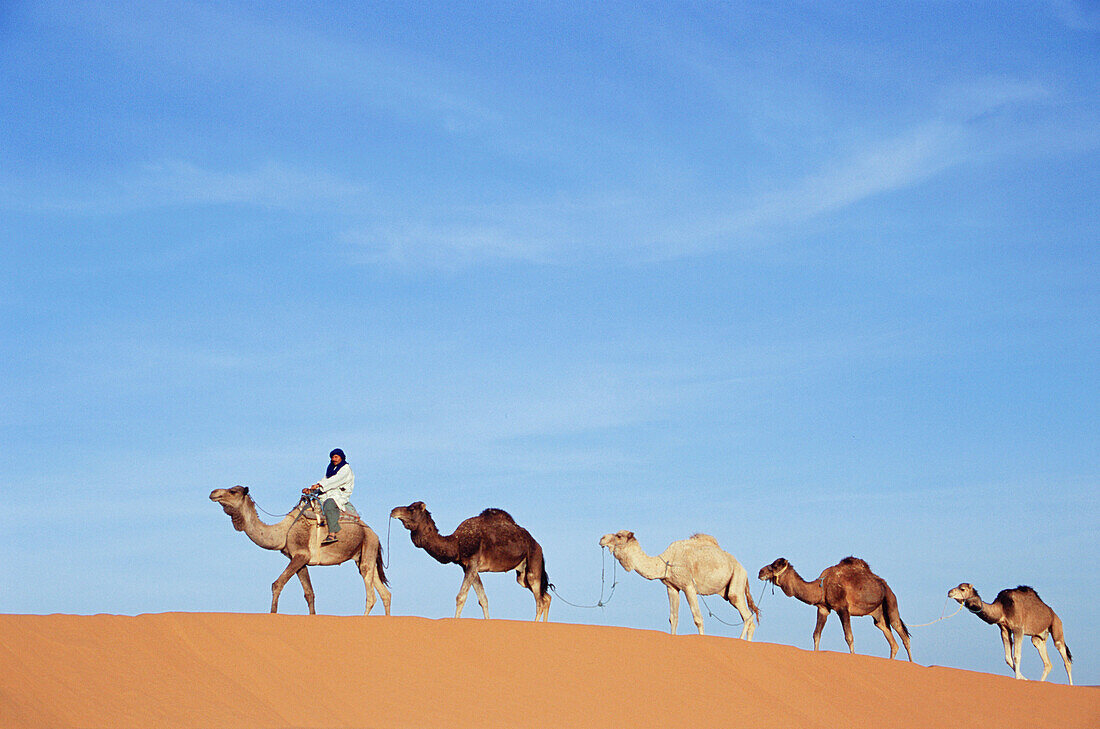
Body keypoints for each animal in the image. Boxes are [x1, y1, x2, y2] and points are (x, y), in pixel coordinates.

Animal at [209, 483, 391, 615]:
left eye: (232, 491)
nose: (213, 492)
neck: (283, 532)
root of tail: (375, 534)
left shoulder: (301, 555)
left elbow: (277, 584)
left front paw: (272, 614)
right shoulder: (300, 559)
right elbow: (309, 593)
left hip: (368, 544)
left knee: (371, 594)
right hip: (364, 553)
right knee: (384, 592)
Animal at [391, 501, 554, 620]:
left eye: (411, 509)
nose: (393, 511)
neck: (456, 543)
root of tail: (538, 545)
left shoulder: (473, 562)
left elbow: (461, 597)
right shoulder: (468, 566)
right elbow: (483, 599)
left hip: (534, 559)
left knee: (539, 600)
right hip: (522, 575)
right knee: (545, 596)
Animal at [598, 529, 761, 637]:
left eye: (619, 535)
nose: (602, 538)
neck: (667, 561)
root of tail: (744, 569)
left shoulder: (688, 586)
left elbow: (698, 618)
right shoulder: (672, 587)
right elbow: (673, 618)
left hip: (737, 580)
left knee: (747, 615)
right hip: (729, 588)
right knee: (750, 619)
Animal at [756, 558, 910, 659]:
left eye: (775, 565)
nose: (760, 572)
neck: (822, 587)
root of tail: (885, 585)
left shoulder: (843, 608)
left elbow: (849, 636)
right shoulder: (823, 609)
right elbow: (816, 634)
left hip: (891, 600)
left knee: (901, 632)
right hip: (878, 614)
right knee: (890, 637)